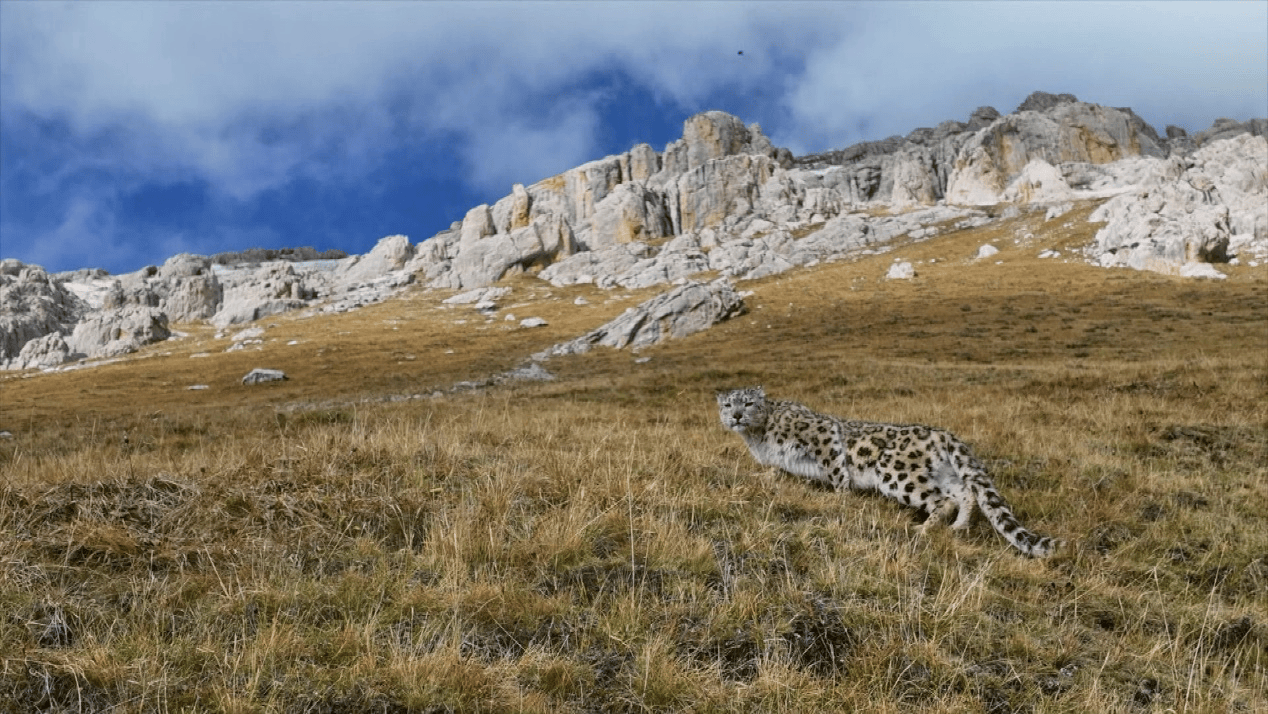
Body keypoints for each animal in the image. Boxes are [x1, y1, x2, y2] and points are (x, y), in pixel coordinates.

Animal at [720, 385, 1065, 558]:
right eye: (726, 405)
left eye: (748, 403)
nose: (735, 415)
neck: (757, 437)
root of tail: (942, 433)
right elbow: (774, 472)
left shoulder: (823, 435)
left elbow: (837, 470)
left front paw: (841, 498)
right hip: (943, 474)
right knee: (965, 492)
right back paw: (959, 527)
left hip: (895, 473)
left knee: (943, 500)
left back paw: (924, 529)